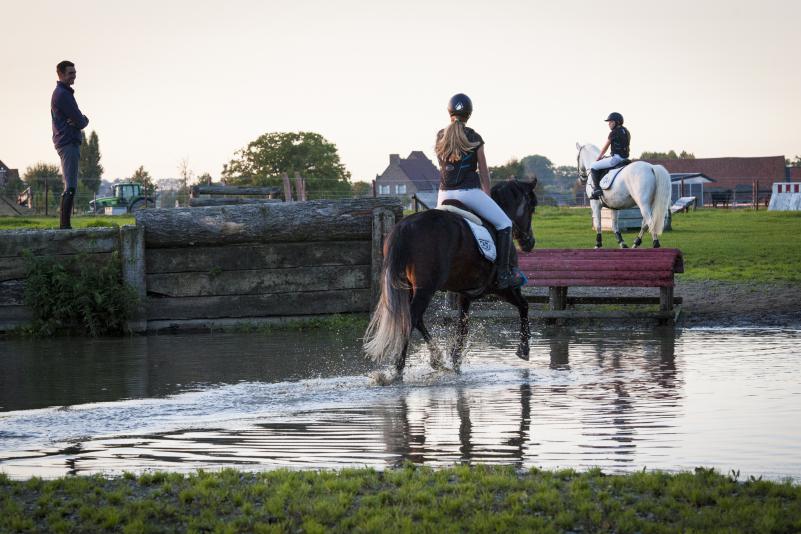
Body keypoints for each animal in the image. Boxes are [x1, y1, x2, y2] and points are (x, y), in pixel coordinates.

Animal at [364, 180, 536, 386]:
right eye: (532, 207)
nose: (530, 243)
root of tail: (405, 226)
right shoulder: (502, 288)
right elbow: (524, 306)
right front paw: (524, 349)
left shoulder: (465, 294)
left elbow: (462, 326)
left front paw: (455, 361)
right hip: (426, 288)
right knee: (411, 319)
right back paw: (398, 370)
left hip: (409, 286)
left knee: (416, 319)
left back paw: (436, 359)